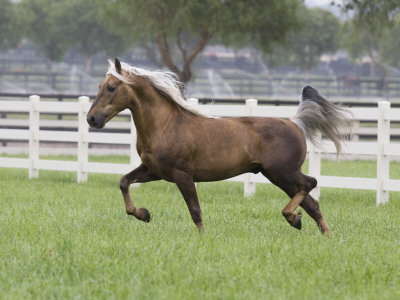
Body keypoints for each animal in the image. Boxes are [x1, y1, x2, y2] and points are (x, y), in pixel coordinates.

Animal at [88, 58, 354, 236]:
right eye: (99, 86)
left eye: (111, 87)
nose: (92, 119)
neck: (165, 124)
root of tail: (293, 121)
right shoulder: (154, 170)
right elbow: (124, 181)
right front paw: (143, 214)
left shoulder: (182, 173)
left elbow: (195, 210)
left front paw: (203, 238)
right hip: (279, 176)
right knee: (312, 204)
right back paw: (319, 231)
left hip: (283, 172)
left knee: (311, 184)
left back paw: (293, 218)